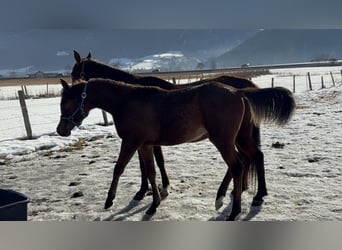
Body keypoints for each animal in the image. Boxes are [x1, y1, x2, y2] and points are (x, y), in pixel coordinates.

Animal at [57, 78, 296, 221]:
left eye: (67, 102)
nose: (61, 130)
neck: (127, 102)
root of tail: (239, 92)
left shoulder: (131, 142)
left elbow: (119, 168)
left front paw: (109, 200)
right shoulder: (146, 145)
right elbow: (151, 172)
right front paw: (154, 204)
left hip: (224, 140)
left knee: (237, 165)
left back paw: (234, 210)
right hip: (240, 137)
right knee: (254, 157)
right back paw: (251, 196)